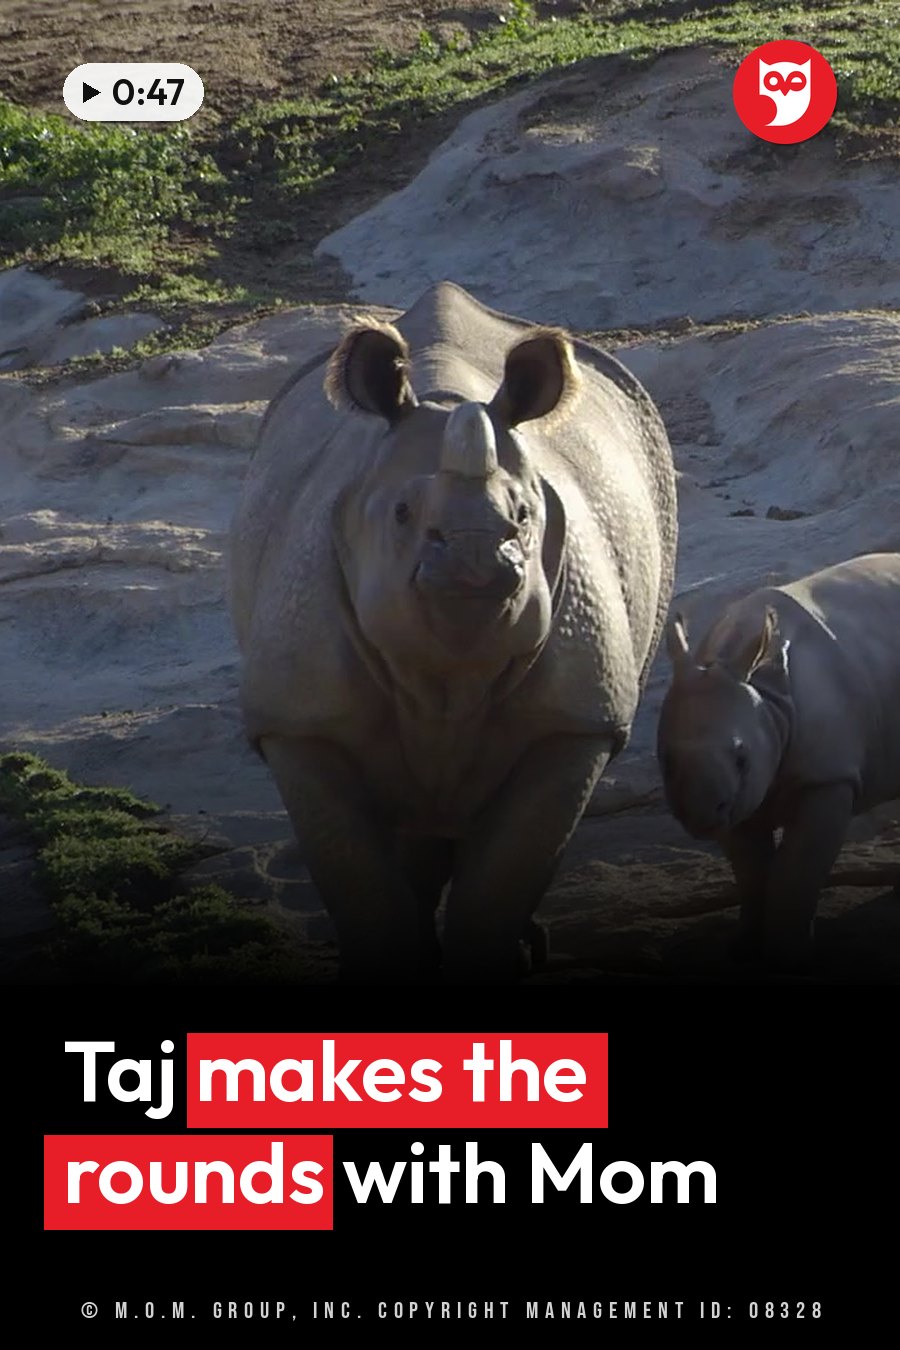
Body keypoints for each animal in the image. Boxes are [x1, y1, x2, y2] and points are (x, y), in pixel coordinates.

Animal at [229, 281, 676, 982]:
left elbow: (500, 883)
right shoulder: (299, 721)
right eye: (403, 514)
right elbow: (361, 888)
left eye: (524, 514)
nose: (477, 557)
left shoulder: (576, 719)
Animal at [657, 553, 900, 968]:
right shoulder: (739, 797)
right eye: (666, 761)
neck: (768, 694)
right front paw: (743, 948)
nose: (701, 816)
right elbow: (752, 872)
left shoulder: (827, 776)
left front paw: (788, 954)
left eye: (741, 758)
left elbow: (796, 871)